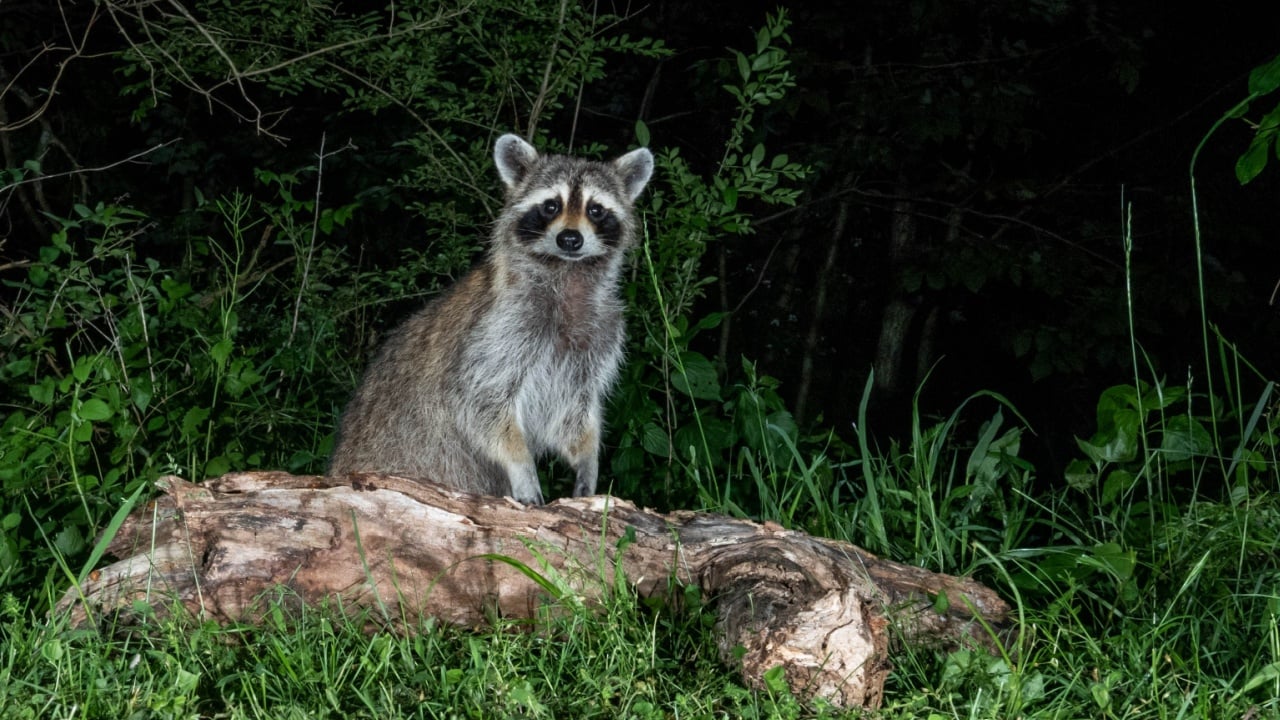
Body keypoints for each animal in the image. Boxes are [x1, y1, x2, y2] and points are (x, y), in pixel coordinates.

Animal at [329, 134, 654, 505]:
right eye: (551, 206)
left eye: (595, 209)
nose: (570, 239)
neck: (568, 273)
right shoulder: (499, 327)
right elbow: (479, 401)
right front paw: (521, 464)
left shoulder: (600, 333)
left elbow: (573, 412)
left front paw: (588, 458)